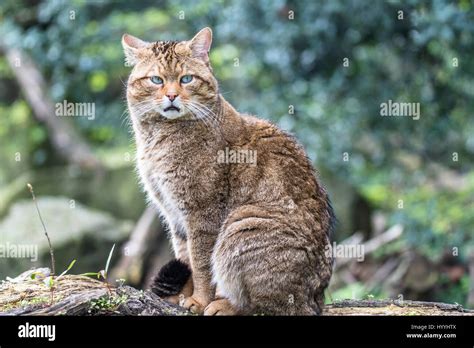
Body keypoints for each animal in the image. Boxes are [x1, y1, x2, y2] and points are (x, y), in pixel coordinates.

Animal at [124, 27, 336, 316]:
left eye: (186, 79)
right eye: (157, 80)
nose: (171, 96)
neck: (158, 137)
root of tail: (315, 300)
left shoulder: (202, 213)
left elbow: (201, 264)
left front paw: (199, 300)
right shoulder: (174, 215)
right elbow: (185, 259)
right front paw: (181, 296)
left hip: (241, 225)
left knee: (263, 306)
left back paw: (224, 304)